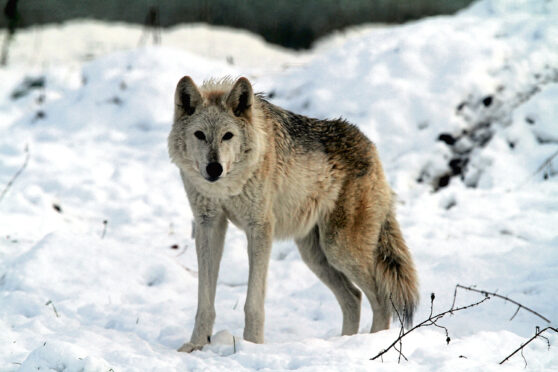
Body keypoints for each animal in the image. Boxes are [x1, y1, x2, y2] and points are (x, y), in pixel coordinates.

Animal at [168, 76, 418, 352]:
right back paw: (343, 343)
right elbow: (204, 300)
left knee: (381, 301)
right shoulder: (208, 225)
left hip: (339, 249)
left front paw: (252, 345)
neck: (228, 186)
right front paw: (196, 345)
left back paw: (369, 345)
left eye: (228, 136)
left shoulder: (259, 228)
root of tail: (371, 146)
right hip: (315, 256)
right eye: (200, 135)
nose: (214, 168)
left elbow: (253, 303)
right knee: (354, 298)